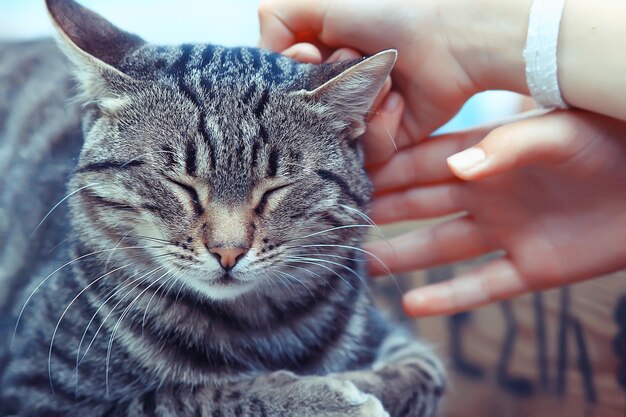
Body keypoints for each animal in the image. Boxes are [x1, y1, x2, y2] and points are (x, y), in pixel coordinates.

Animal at [0, 1, 444, 414]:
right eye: (181, 183)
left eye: (275, 187)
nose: (228, 252)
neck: (258, 327)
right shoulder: (37, 390)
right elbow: (197, 395)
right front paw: (327, 398)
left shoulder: (396, 338)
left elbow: (423, 372)